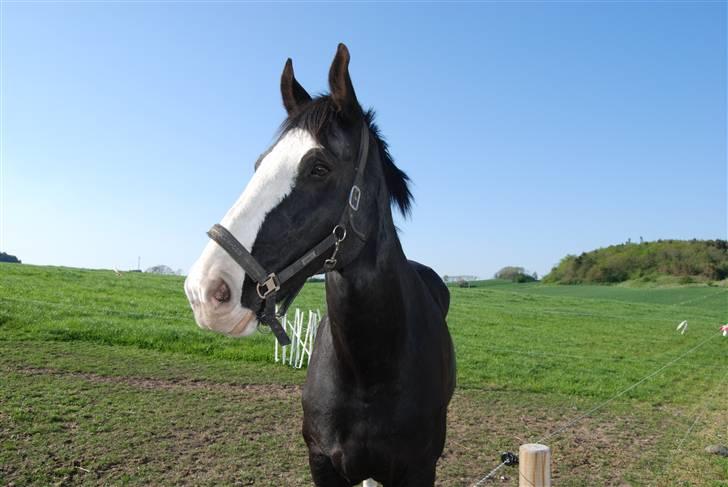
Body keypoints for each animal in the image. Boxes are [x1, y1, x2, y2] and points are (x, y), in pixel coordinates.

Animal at [183, 43, 456, 486]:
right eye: (259, 164)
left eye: (319, 167)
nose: (205, 290)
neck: (368, 369)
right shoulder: (322, 462)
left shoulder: (419, 469)